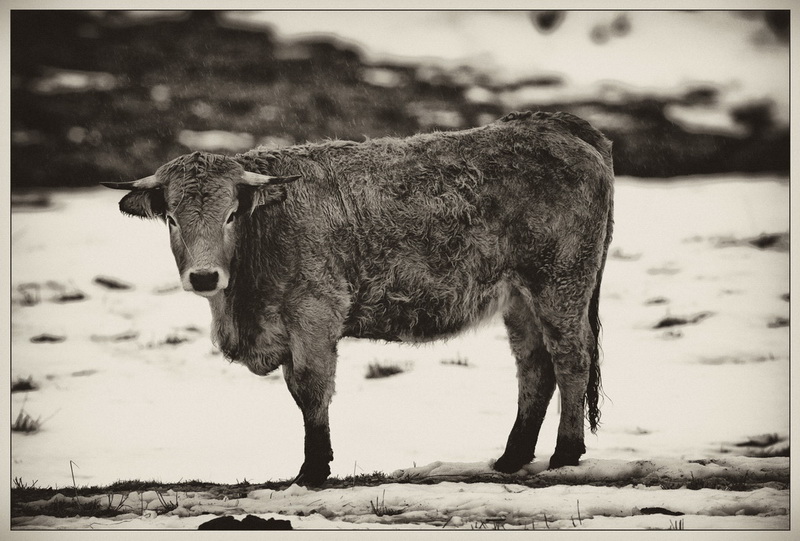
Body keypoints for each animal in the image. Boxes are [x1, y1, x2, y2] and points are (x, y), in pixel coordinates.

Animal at [103, 109, 616, 486]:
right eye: (171, 219)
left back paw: (565, 454)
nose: (205, 276)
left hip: (561, 283)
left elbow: (310, 388)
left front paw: (312, 471)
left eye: (231, 214)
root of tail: (549, 122)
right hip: (519, 297)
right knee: (534, 366)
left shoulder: (315, 313)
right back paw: (511, 457)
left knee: (570, 358)